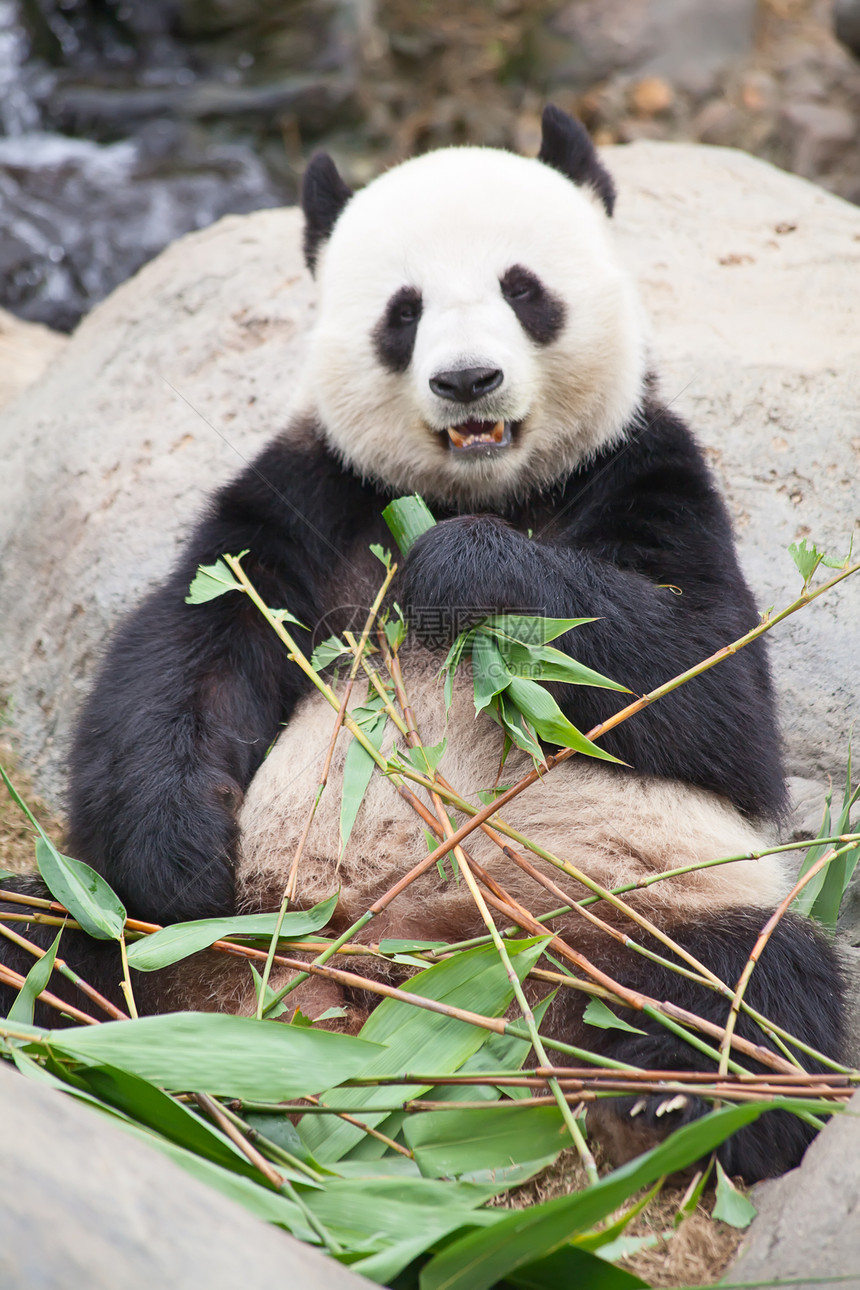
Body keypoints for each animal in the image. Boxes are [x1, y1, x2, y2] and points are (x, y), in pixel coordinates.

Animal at [0, 108, 845, 1181]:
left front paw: (456, 572)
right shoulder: (309, 494)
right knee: (43, 941)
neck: (477, 489)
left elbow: (713, 694)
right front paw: (178, 852)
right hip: (201, 937)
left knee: (750, 992)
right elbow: (188, 654)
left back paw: (673, 1100)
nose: (466, 380)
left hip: (636, 903)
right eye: (402, 313)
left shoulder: (645, 468)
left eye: (524, 291)